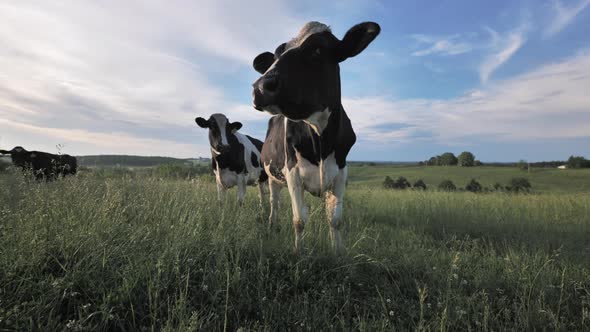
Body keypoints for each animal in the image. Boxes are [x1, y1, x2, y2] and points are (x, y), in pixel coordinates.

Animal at [252, 21, 382, 254]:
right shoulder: (292, 172)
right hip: (272, 175)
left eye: (318, 50)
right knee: (274, 203)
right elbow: (299, 220)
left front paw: (338, 252)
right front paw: (299, 253)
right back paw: (272, 225)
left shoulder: (340, 173)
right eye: (276, 55)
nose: (260, 87)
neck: (321, 139)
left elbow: (335, 220)